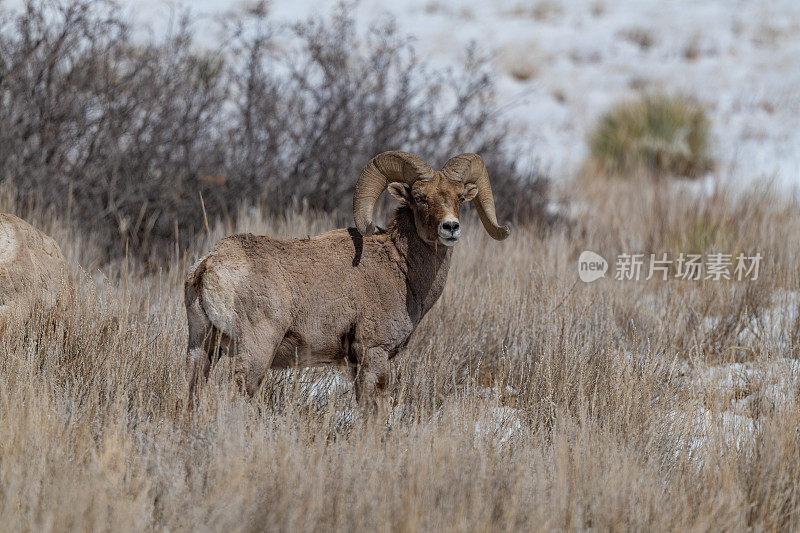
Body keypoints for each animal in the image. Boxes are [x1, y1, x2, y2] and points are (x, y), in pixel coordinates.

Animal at [184, 150, 510, 404]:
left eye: (460, 199)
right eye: (420, 198)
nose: (450, 228)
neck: (399, 269)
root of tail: (209, 266)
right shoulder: (373, 354)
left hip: (201, 348)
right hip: (255, 352)